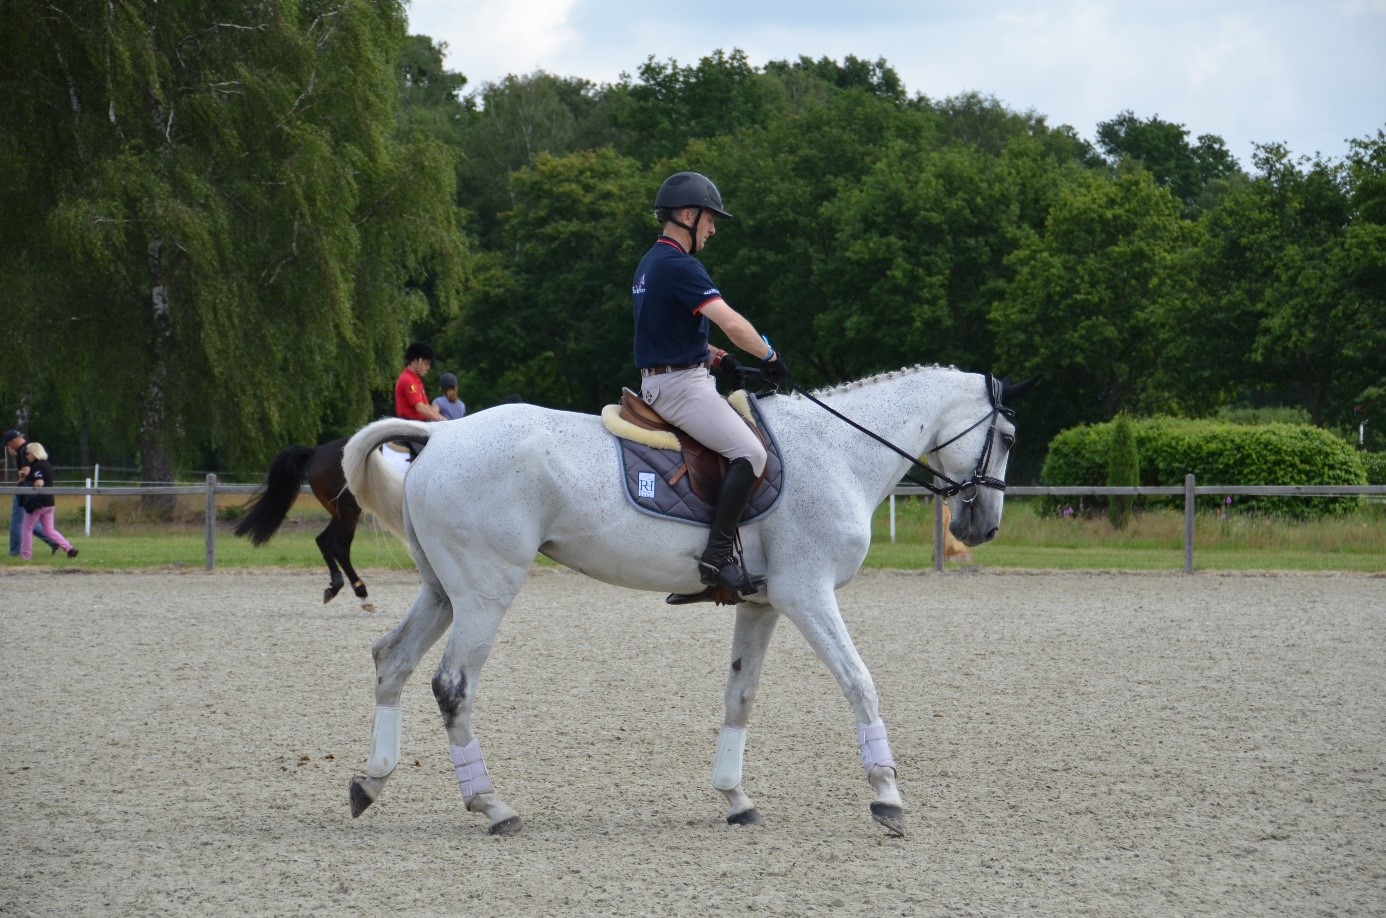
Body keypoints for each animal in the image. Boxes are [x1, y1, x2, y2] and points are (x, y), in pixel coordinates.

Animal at [232, 438, 376, 610]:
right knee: (339, 548)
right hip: (348, 509)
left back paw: (335, 586)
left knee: (323, 540)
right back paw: (362, 593)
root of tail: (317, 451)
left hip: (339, 512)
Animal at [340, 363, 1036, 837]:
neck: (838, 451)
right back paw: (492, 806)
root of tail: (440, 439)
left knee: (391, 660)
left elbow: (740, 695)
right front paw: (887, 797)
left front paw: (735, 798)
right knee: (452, 685)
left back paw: (370, 781)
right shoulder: (807, 594)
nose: (983, 527)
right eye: (1006, 435)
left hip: (444, 592)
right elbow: (859, 682)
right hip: (486, 592)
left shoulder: (762, 604)